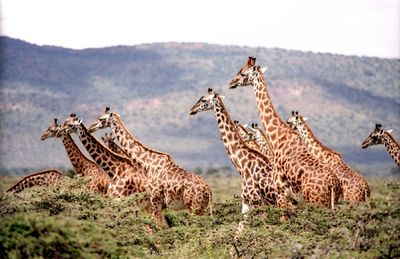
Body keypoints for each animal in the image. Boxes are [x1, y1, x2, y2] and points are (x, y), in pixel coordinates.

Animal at [228, 56, 340, 209]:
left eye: (243, 73)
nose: (231, 83)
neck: (278, 136)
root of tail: (333, 184)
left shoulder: (281, 191)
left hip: (316, 200)